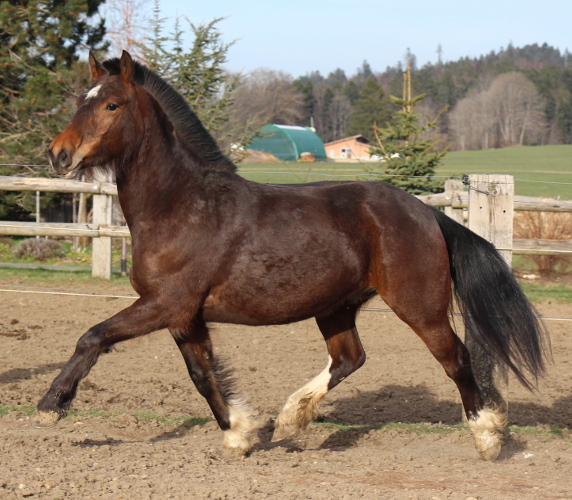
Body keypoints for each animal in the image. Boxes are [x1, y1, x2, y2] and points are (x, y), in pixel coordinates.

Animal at [36, 50, 548, 460]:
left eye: (111, 104)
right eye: (80, 100)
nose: (59, 154)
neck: (180, 205)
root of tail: (426, 213)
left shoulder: (165, 304)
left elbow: (93, 336)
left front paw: (49, 407)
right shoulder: (185, 317)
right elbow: (202, 376)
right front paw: (239, 434)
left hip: (419, 306)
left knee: (455, 358)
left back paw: (487, 438)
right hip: (336, 305)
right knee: (350, 358)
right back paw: (290, 419)